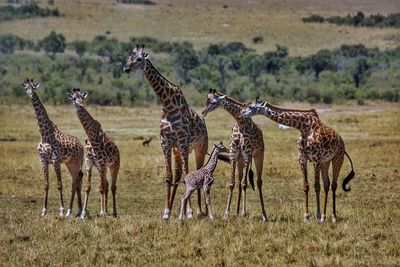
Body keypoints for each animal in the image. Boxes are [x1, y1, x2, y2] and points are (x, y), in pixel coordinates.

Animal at [22, 79, 84, 218]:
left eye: (34, 87)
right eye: (26, 88)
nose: (30, 94)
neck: (45, 135)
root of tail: (81, 145)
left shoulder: (56, 160)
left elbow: (59, 185)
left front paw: (61, 210)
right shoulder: (43, 161)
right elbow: (46, 184)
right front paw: (44, 211)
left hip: (76, 163)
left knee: (76, 181)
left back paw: (74, 210)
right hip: (69, 164)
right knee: (76, 181)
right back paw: (78, 210)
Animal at [67, 89, 120, 219]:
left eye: (82, 97)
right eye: (74, 98)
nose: (81, 104)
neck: (92, 136)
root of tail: (117, 149)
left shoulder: (101, 163)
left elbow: (100, 188)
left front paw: (102, 212)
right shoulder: (89, 163)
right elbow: (88, 187)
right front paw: (83, 214)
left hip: (114, 165)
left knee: (112, 187)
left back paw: (113, 213)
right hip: (103, 168)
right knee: (107, 185)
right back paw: (106, 210)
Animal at [123, 44, 208, 220]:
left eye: (139, 59)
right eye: (129, 57)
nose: (126, 68)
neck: (167, 104)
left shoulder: (182, 140)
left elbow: (187, 174)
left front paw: (189, 212)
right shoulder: (166, 142)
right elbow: (169, 176)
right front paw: (167, 212)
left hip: (199, 148)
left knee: (197, 171)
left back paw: (199, 210)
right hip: (178, 150)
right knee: (178, 174)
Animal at [202, 90, 268, 222]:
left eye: (213, 102)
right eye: (206, 100)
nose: (203, 112)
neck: (240, 122)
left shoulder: (247, 154)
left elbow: (245, 184)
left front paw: (244, 213)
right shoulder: (234, 154)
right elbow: (232, 183)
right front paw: (226, 214)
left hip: (258, 155)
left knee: (258, 182)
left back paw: (264, 215)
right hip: (240, 160)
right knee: (239, 180)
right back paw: (237, 212)